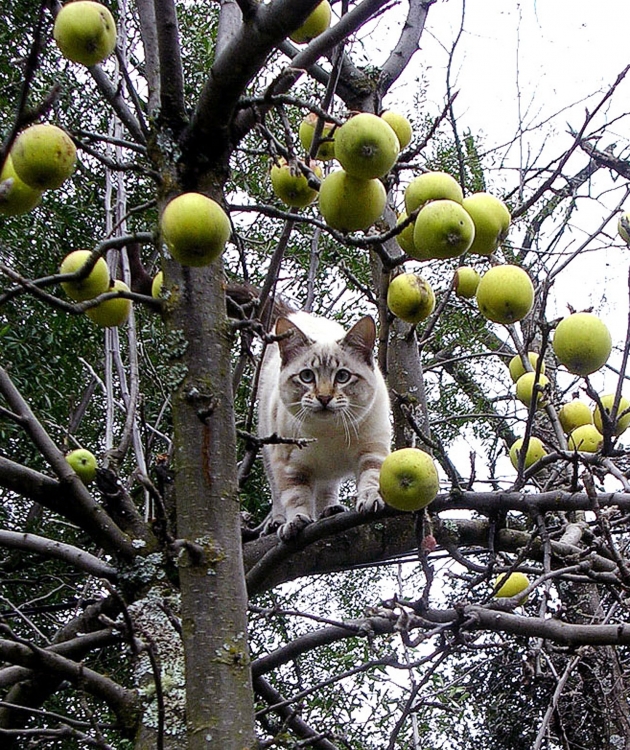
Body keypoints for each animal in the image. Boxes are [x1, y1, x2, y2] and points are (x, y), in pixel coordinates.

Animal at [256, 308, 390, 544]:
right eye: (307, 376)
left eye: (343, 376)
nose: (325, 397)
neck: (328, 433)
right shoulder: (289, 465)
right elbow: (295, 497)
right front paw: (295, 522)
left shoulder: (372, 448)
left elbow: (371, 476)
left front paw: (369, 499)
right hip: (268, 448)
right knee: (278, 494)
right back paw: (277, 522)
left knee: (327, 488)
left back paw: (331, 510)